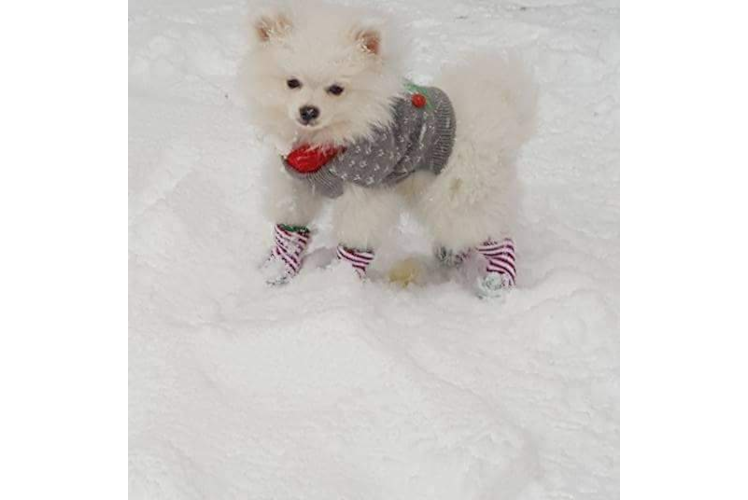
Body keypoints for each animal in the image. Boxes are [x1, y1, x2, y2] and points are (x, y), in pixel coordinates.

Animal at [240, 0, 536, 296]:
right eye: (292, 83)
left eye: (336, 89)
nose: (308, 111)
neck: (324, 142)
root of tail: (498, 112)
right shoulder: (296, 183)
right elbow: (290, 227)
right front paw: (277, 270)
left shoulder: (366, 189)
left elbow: (355, 242)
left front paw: (341, 280)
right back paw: (452, 254)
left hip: (460, 191)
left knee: (491, 232)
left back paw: (498, 281)